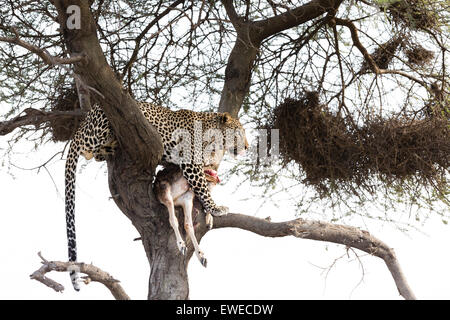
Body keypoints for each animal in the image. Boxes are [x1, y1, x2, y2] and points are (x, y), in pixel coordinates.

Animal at [63, 102, 248, 290]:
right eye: (239, 133)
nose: (247, 147)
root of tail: (85, 120)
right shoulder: (191, 164)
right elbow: (202, 187)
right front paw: (216, 208)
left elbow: (201, 188)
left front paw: (210, 212)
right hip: (97, 128)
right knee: (84, 148)